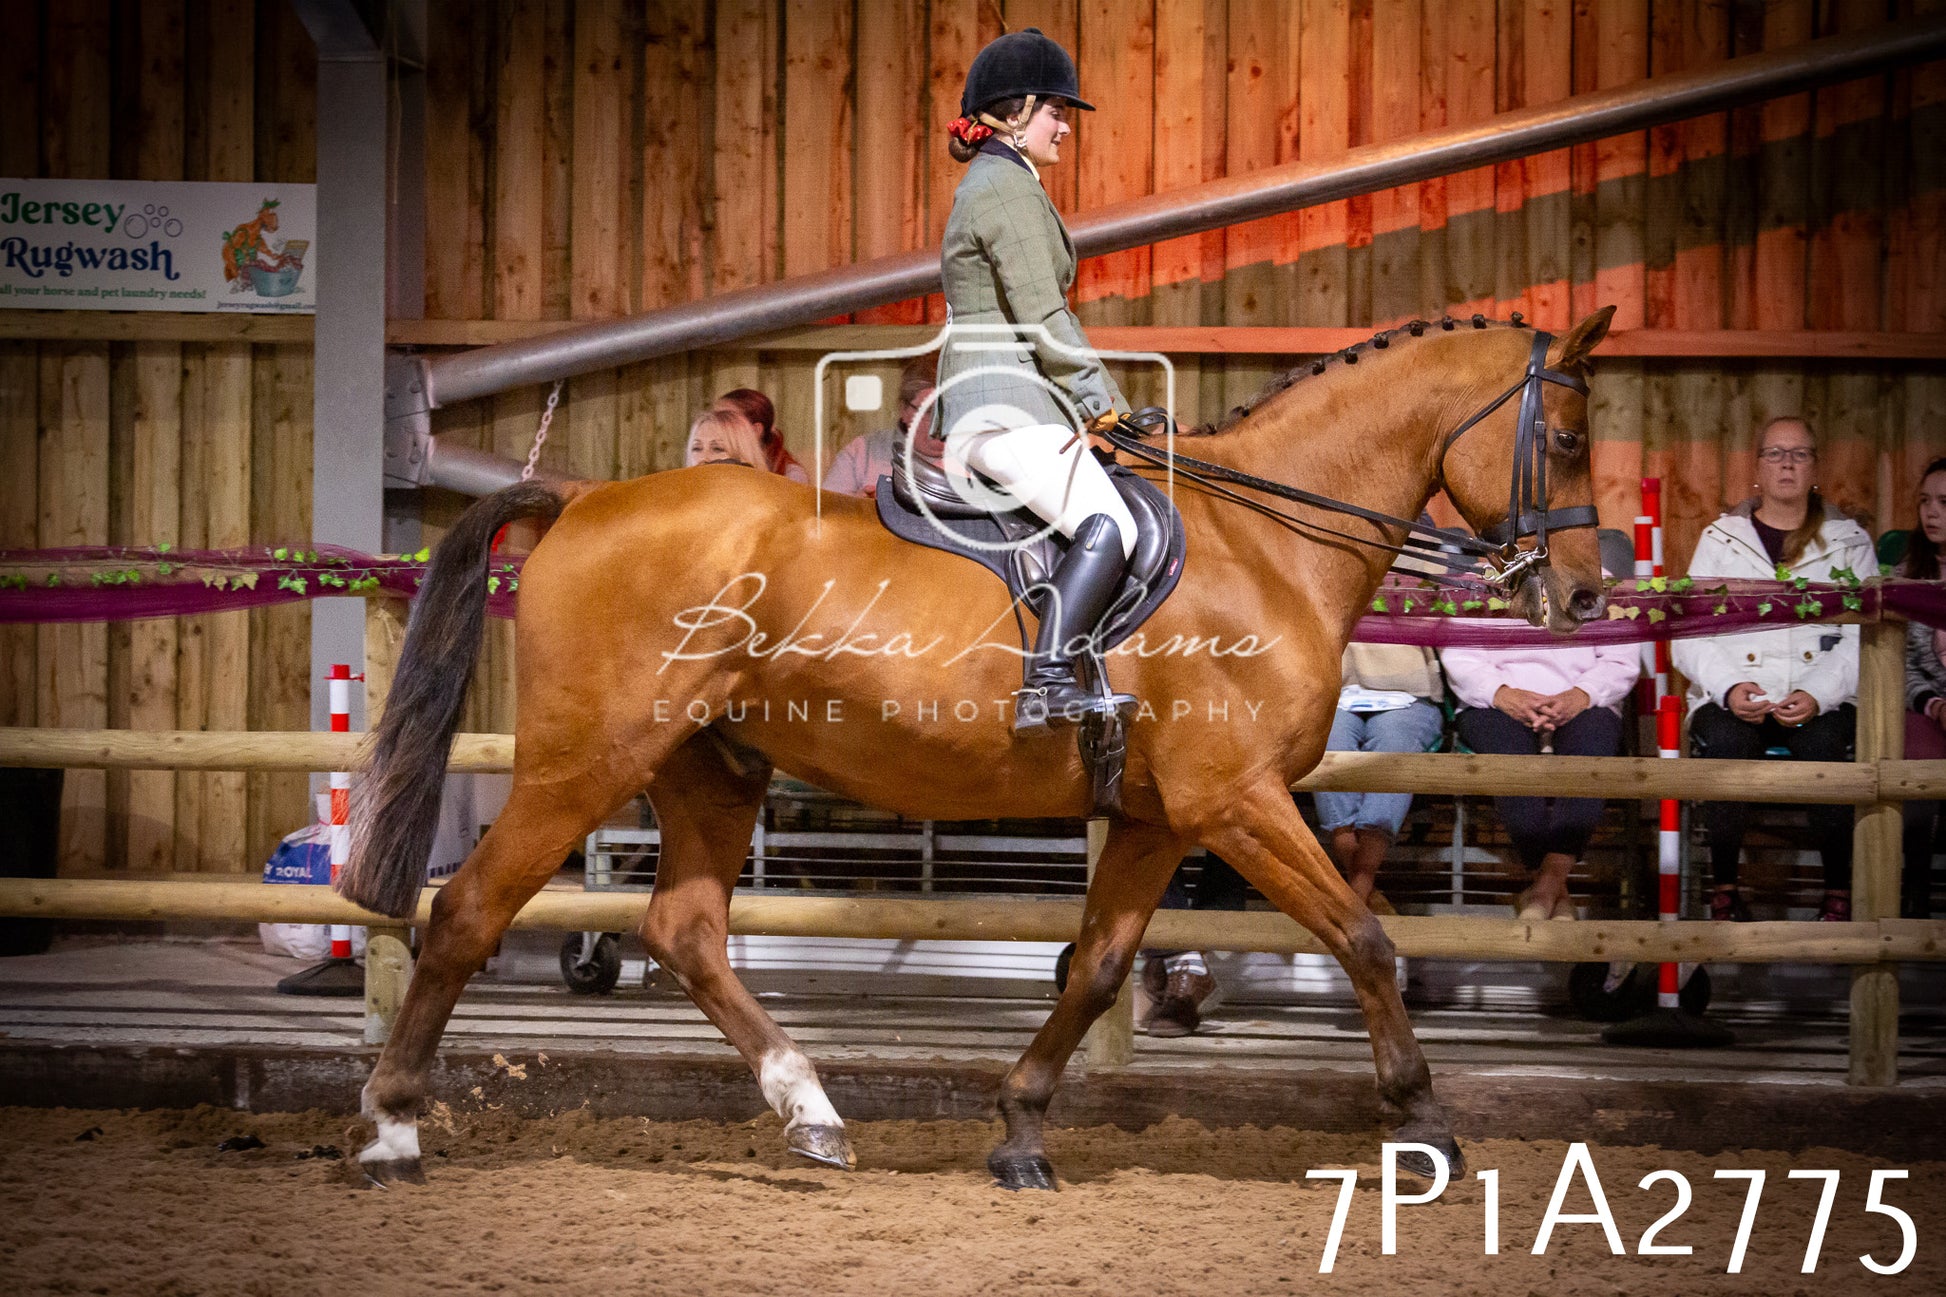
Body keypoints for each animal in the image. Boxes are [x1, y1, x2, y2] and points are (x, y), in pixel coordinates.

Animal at [340, 307, 1616, 1189]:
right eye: (1563, 436)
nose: (1584, 596)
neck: (1265, 541)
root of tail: (580, 498)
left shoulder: (1157, 817)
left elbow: (1096, 967)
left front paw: (1018, 1129)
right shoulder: (1234, 800)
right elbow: (1363, 938)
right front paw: (1425, 1125)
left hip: (711, 764)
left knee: (684, 929)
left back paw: (812, 1113)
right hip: (586, 761)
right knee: (470, 910)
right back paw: (393, 1127)